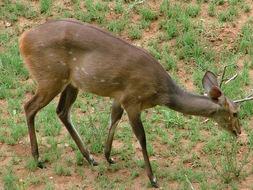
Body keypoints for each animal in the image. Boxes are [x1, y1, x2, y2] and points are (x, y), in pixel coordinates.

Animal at [19, 18, 251, 188]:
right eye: (236, 112)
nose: (238, 131)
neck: (161, 92)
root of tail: (23, 39)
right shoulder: (133, 99)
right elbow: (142, 138)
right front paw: (153, 179)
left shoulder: (119, 96)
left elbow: (113, 119)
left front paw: (108, 157)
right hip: (50, 77)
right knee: (30, 107)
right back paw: (38, 159)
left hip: (71, 82)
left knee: (62, 111)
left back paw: (90, 158)